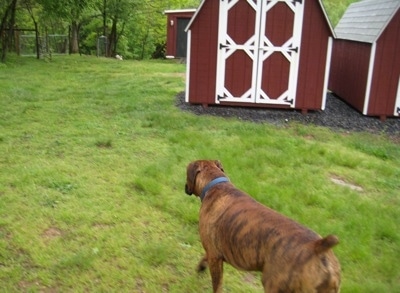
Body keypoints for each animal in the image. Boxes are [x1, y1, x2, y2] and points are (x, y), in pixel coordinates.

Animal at [185, 160, 340, 292]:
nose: (185, 187)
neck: (216, 184)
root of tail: (318, 247)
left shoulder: (214, 256)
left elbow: (217, 286)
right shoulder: (213, 253)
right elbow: (204, 258)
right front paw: (200, 267)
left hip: (274, 285)